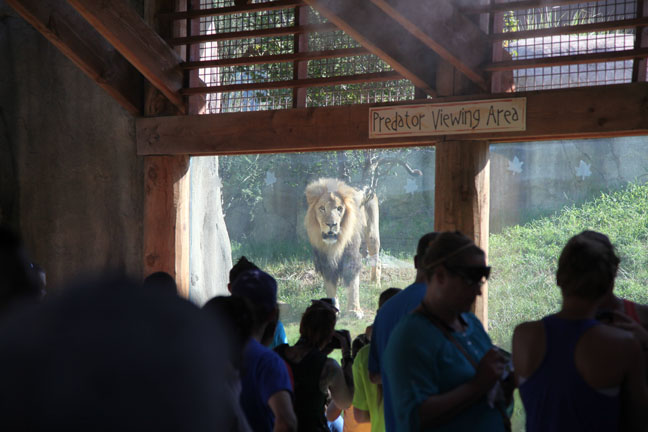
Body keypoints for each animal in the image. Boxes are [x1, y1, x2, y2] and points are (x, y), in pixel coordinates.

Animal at [304, 178, 380, 317]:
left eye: (339, 208)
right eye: (322, 208)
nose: (331, 224)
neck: (334, 244)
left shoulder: (351, 256)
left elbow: (353, 285)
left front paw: (354, 310)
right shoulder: (325, 261)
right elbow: (330, 287)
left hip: (372, 234)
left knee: (377, 259)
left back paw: (375, 284)